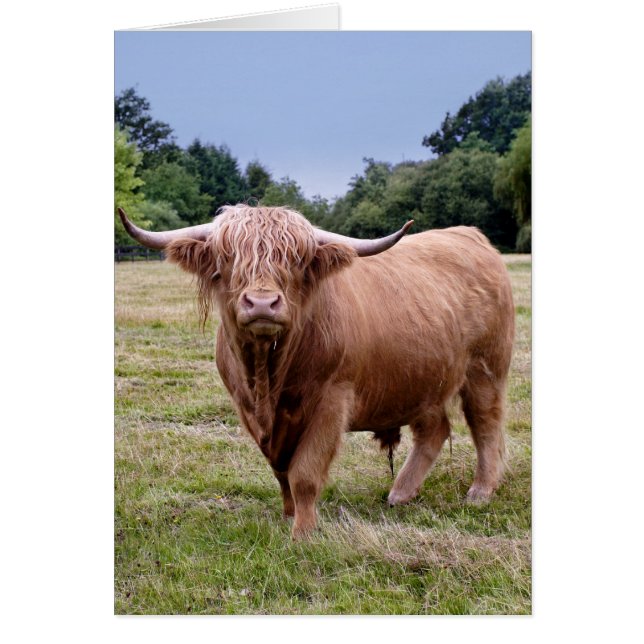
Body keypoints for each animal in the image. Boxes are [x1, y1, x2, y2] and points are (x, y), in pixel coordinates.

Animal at [118, 205, 514, 539]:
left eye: (296, 260)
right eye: (228, 258)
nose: (262, 303)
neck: (268, 379)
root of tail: (471, 235)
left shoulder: (331, 402)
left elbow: (304, 472)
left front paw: (304, 532)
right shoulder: (248, 409)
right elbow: (281, 471)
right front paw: (288, 514)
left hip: (485, 369)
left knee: (485, 425)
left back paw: (480, 491)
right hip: (422, 378)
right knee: (434, 430)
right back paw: (401, 492)